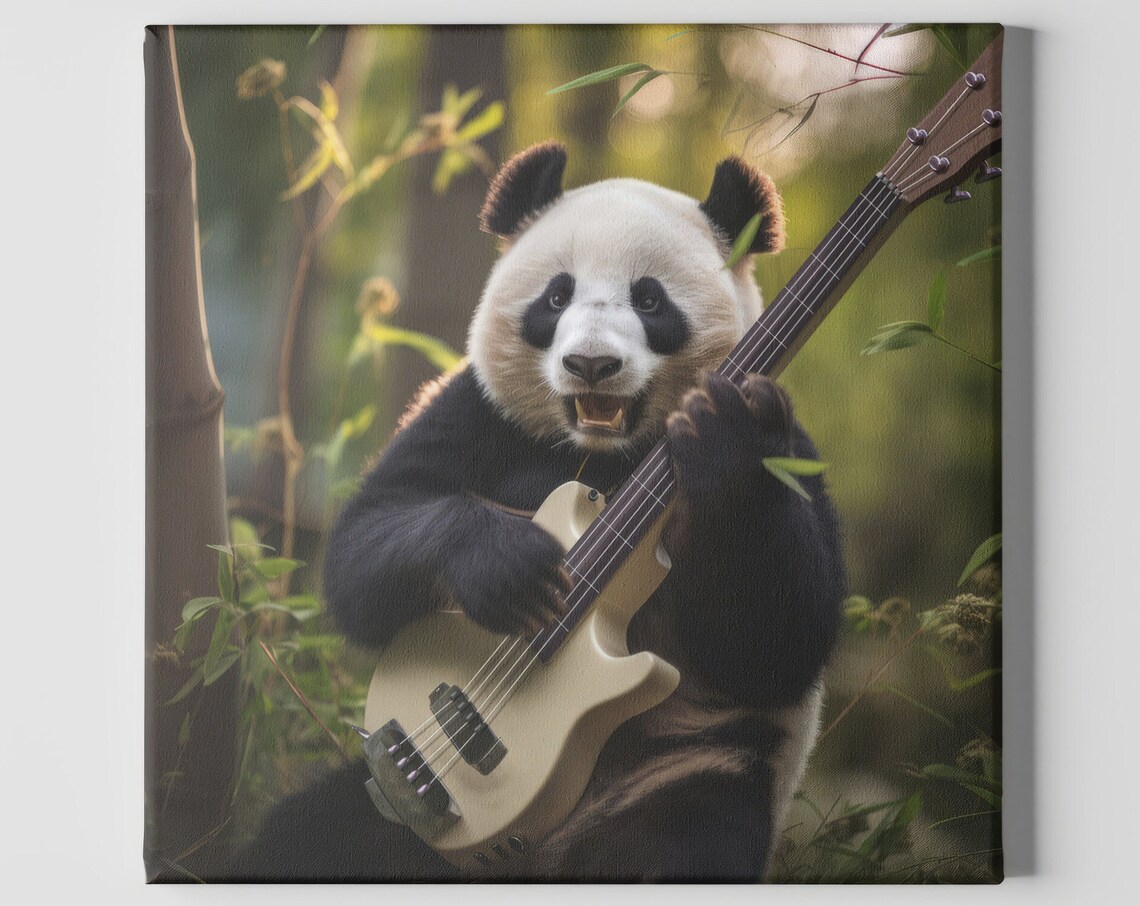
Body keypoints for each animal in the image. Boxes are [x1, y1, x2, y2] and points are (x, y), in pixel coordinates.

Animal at [231, 142, 844, 882]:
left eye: (650, 299)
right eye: (557, 296)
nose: (591, 364)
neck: (607, 452)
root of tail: (538, 856)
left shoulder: (789, 442)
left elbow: (777, 638)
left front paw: (723, 441)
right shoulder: (476, 407)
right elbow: (369, 543)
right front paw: (506, 565)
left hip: (690, 769)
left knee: (691, 846)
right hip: (390, 817)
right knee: (311, 839)